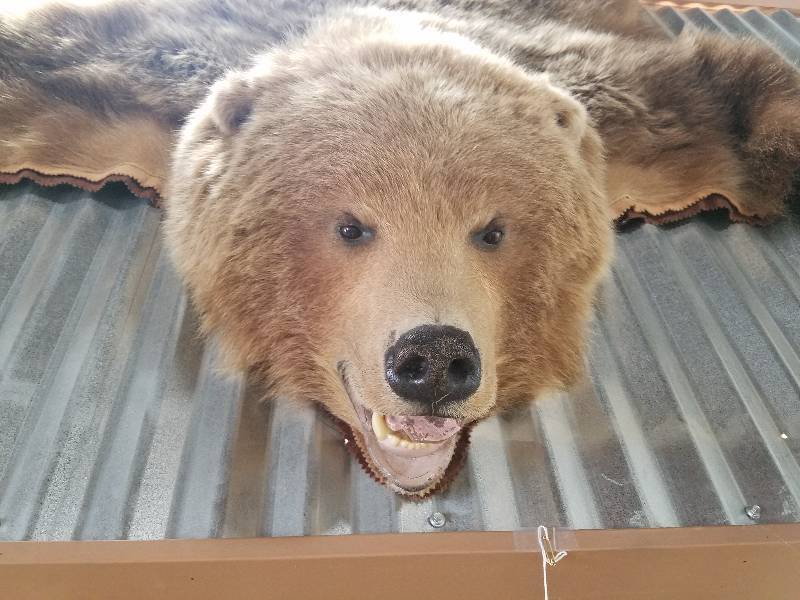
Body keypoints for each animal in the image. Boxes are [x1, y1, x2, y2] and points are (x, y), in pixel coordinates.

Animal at [2, 0, 799, 496]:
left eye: (492, 229)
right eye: (351, 225)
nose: (435, 357)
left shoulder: (623, 102)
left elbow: (726, 91)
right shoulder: (143, 68)